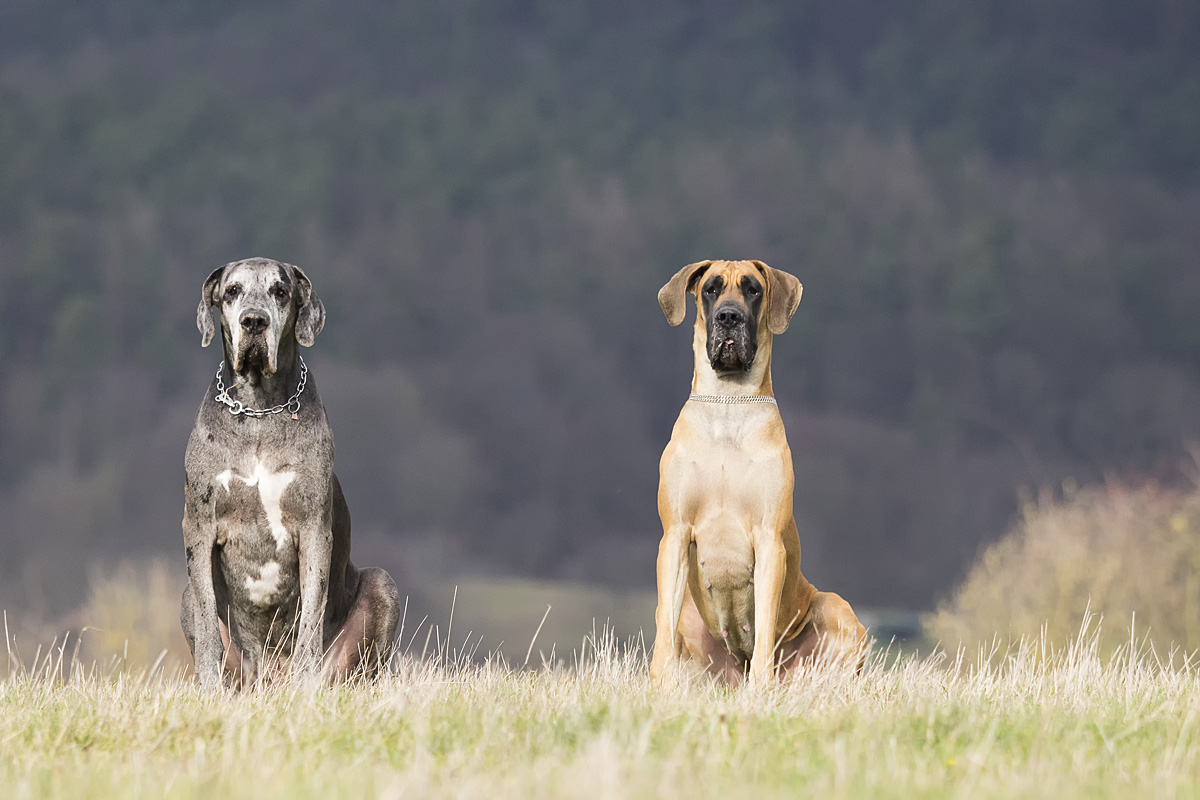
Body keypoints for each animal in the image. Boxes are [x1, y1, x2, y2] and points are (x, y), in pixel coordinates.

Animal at [180, 257, 400, 690]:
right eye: (231, 291)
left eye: (280, 291)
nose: (253, 321)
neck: (259, 412)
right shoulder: (197, 528)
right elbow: (208, 620)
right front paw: (208, 687)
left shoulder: (314, 530)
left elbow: (311, 615)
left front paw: (305, 682)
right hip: (191, 605)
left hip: (382, 585)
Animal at [652, 260, 868, 686]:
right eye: (711, 289)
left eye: (753, 289)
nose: (728, 317)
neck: (728, 405)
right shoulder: (675, 535)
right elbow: (663, 634)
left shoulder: (769, 542)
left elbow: (766, 627)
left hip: (836, 609)